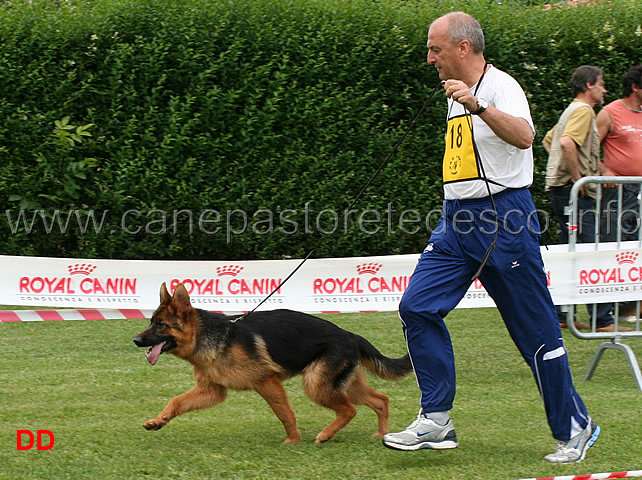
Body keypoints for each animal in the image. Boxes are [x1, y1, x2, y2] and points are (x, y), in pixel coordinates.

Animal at [134, 284, 410, 444]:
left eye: (161, 325)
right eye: (151, 321)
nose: (135, 340)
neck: (213, 337)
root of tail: (350, 335)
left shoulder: (266, 382)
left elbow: (284, 412)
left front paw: (292, 440)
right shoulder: (211, 390)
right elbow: (176, 401)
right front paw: (158, 421)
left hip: (316, 385)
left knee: (349, 410)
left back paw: (325, 435)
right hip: (342, 385)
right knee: (381, 400)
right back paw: (381, 434)